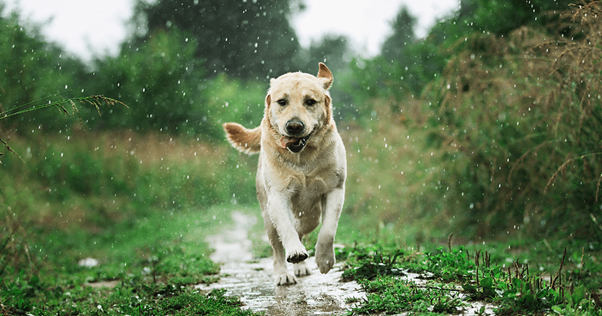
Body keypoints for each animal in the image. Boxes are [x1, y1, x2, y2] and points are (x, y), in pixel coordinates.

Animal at [221, 63, 344, 286]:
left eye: (310, 101)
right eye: (282, 102)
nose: (294, 126)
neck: (302, 159)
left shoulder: (335, 189)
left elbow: (328, 230)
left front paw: (324, 260)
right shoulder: (277, 196)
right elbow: (286, 228)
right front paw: (295, 252)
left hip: (312, 212)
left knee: (307, 224)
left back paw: (302, 266)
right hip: (268, 217)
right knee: (277, 247)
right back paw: (283, 273)